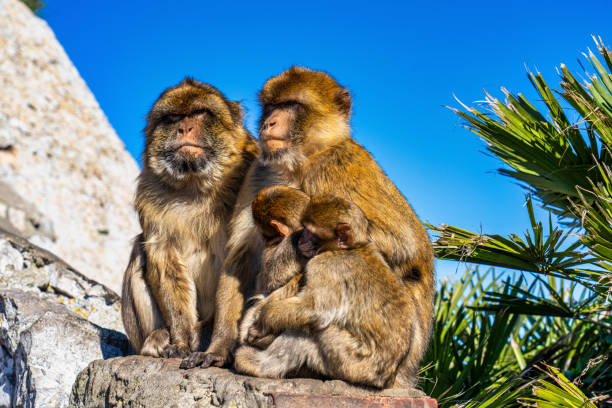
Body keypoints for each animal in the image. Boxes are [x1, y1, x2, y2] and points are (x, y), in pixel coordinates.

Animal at [234, 186, 412, 388]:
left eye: (310, 231)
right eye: (304, 229)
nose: (301, 239)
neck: (351, 248)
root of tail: (386, 378)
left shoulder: (322, 265)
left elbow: (314, 309)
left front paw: (264, 319)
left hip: (351, 362)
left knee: (312, 328)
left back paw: (258, 365)